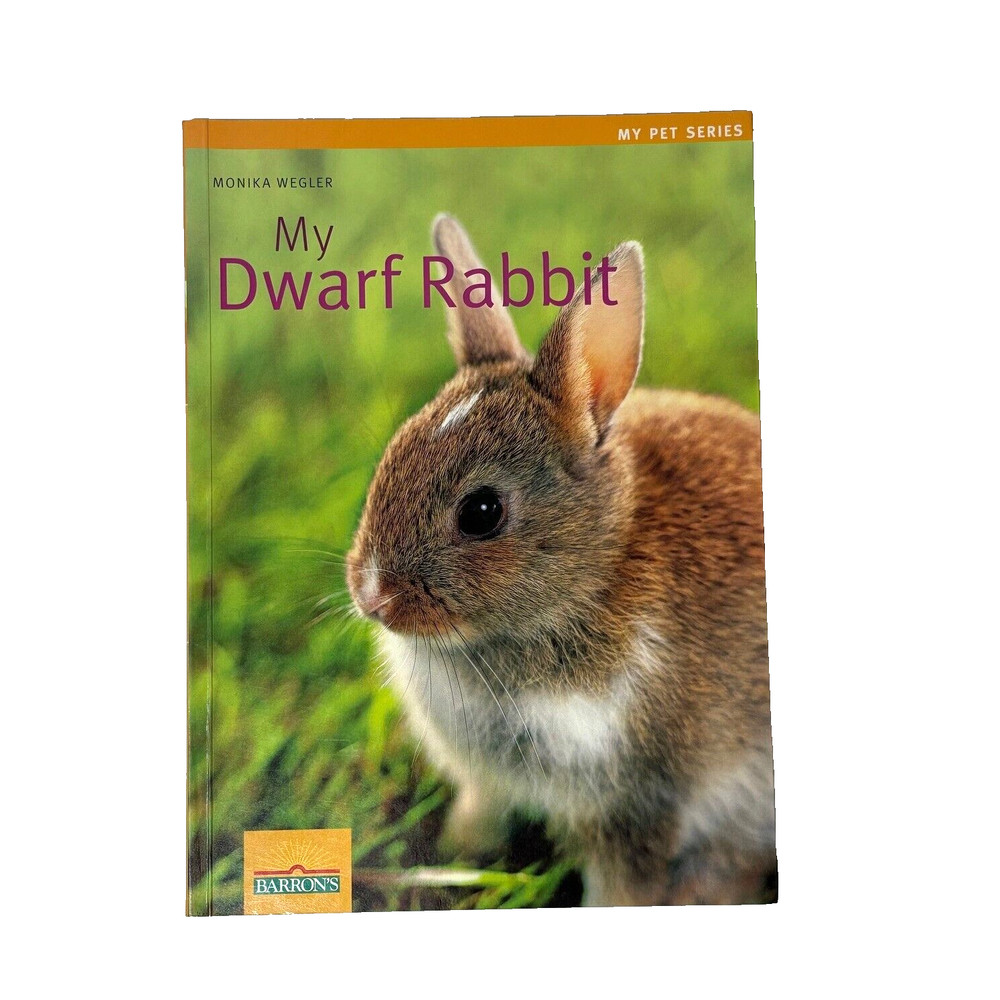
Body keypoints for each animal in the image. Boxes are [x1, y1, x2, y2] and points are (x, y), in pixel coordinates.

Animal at [346, 215, 776, 906]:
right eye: (394, 453)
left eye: (483, 512)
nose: (372, 597)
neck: (593, 577)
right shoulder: (488, 781)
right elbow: (479, 813)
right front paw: (456, 853)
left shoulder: (638, 801)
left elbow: (624, 884)